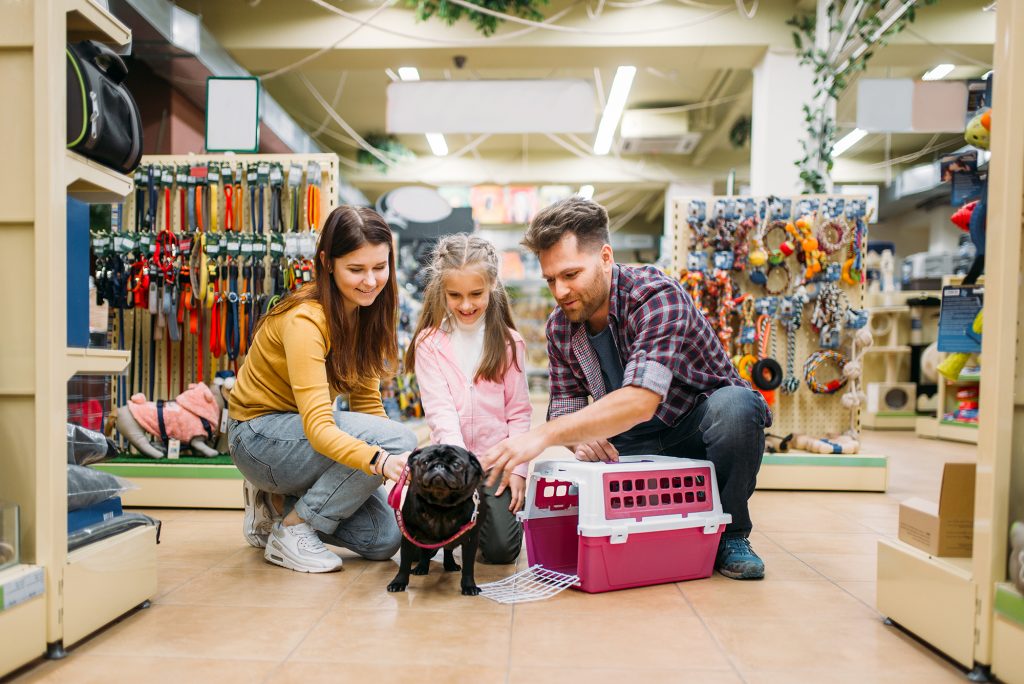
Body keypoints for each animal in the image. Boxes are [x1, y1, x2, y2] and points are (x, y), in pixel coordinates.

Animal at [387, 444, 491, 593]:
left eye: (456, 465)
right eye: (425, 462)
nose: (439, 466)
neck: (441, 506)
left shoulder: (471, 539)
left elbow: (468, 566)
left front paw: (469, 585)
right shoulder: (409, 536)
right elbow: (404, 562)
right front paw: (399, 582)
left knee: (448, 549)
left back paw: (450, 564)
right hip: (424, 540)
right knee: (425, 552)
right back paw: (421, 567)